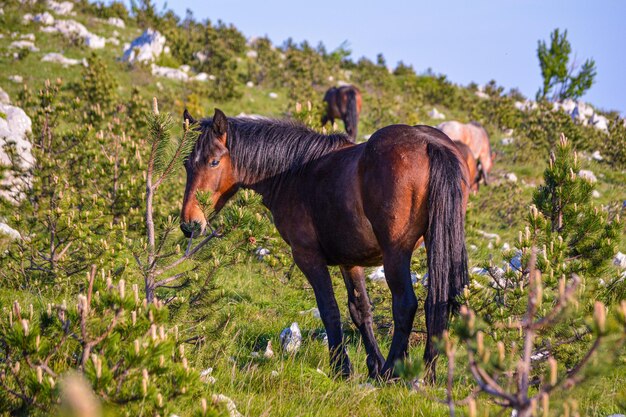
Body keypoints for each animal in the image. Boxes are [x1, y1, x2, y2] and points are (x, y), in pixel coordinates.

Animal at [180, 108, 468, 380]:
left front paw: (342, 367)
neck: (294, 173)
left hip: (395, 254)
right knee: (436, 303)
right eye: (186, 163)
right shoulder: (350, 261)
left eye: (214, 161)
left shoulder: (308, 257)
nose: (189, 224)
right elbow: (360, 310)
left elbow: (329, 309)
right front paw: (372, 366)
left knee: (405, 305)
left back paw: (392, 371)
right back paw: (426, 373)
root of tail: (430, 144)